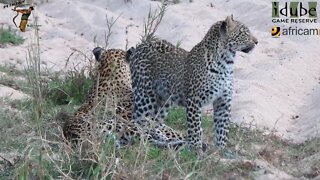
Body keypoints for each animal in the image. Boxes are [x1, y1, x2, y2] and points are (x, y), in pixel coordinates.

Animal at [126, 14, 258, 154]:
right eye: (244, 32)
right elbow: (195, 128)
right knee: (139, 120)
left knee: (154, 123)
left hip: (163, 100)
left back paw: (164, 141)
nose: (257, 41)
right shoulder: (195, 100)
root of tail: (141, 46)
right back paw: (143, 141)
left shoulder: (223, 101)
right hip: (145, 96)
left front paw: (220, 150)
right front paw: (195, 149)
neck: (226, 62)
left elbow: (222, 128)